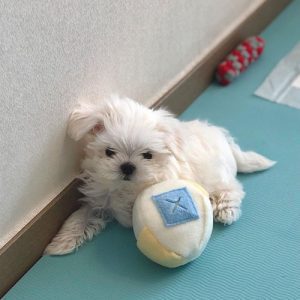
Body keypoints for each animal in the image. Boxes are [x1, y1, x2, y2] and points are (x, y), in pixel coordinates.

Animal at [44, 96, 274, 255]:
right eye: (109, 152)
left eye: (148, 155)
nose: (127, 167)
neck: (125, 187)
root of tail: (225, 139)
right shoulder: (99, 198)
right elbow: (81, 215)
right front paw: (62, 241)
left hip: (216, 174)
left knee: (232, 189)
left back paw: (226, 211)